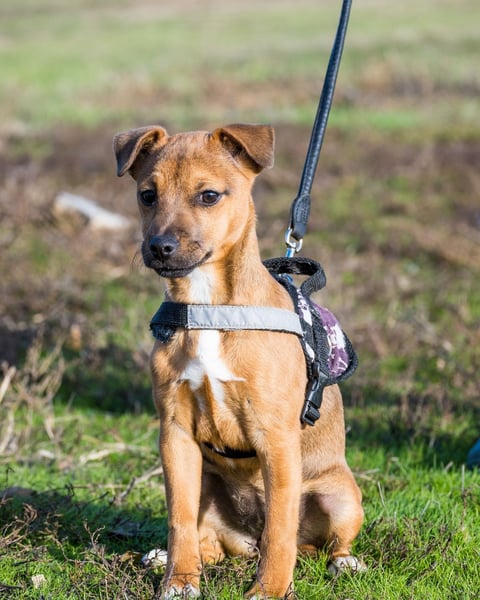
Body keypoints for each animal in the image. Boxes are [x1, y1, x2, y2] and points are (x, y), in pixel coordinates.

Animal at [113, 123, 364, 599]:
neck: (210, 306)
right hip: (207, 483)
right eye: (147, 195)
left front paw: (270, 589)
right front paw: (179, 581)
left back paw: (344, 563)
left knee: (317, 542)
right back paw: (168, 558)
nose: (160, 247)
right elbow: (179, 520)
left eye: (209, 196)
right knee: (209, 539)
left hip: (340, 496)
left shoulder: (276, 437)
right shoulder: (175, 434)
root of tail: (246, 540)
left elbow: (281, 528)